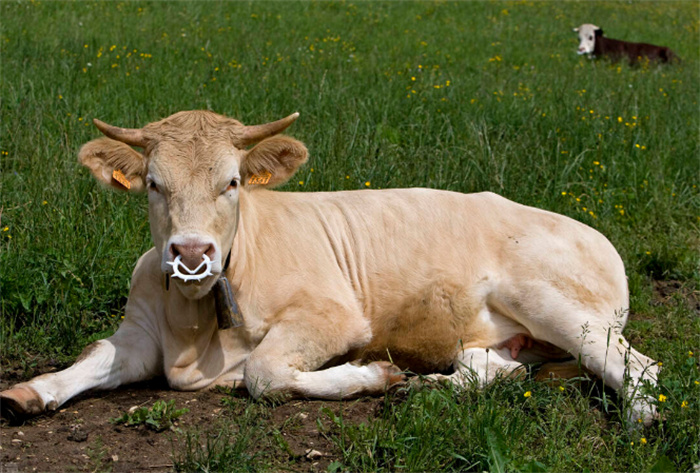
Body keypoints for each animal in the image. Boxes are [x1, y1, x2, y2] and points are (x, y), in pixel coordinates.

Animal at [0, 110, 660, 428]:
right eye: (155, 185)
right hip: (495, 335)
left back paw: (642, 421)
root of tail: (596, 234)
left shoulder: (335, 316)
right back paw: (425, 390)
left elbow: (265, 374)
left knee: (637, 366)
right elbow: (91, 360)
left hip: (552, 301)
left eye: (232, 182)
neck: (192, 324)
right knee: (490, 369)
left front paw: (367, 375)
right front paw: (29, 393)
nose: (190, 254)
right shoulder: (138, 332)